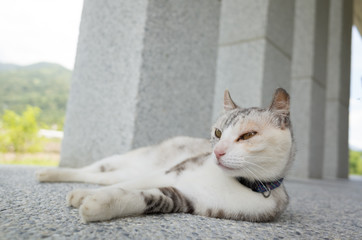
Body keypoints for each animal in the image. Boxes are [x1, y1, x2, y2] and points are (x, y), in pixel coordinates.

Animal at [36, 88, 294, 223]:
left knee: (101, 177)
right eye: (218, 133)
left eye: (248, 135)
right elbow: (132, 185)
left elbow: (148, 196)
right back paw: (48, 173)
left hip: (120, 171)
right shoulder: (171, 171)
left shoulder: (187, 199)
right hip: (124, 160)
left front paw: (97, 204)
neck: (232, 181)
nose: (217, 152)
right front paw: (85, 195)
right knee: (91, 170)